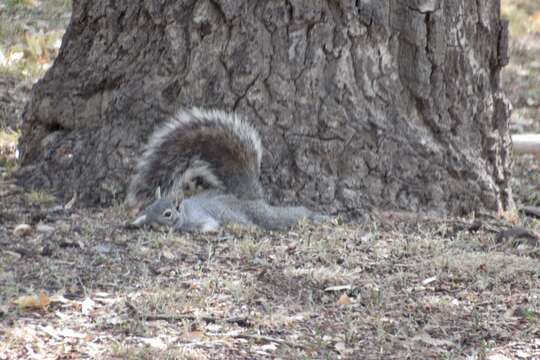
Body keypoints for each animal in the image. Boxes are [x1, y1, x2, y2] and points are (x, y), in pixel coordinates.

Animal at [127, 107, 330, 232]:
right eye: (149, 208)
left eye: (167, 214)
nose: (152, 223)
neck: (184, 212)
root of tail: (248, 198)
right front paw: (137, 221)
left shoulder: (199, 217)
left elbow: (208, 224)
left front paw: (206, 229)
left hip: (263, 214)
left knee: (286, 215)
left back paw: (316, 216)